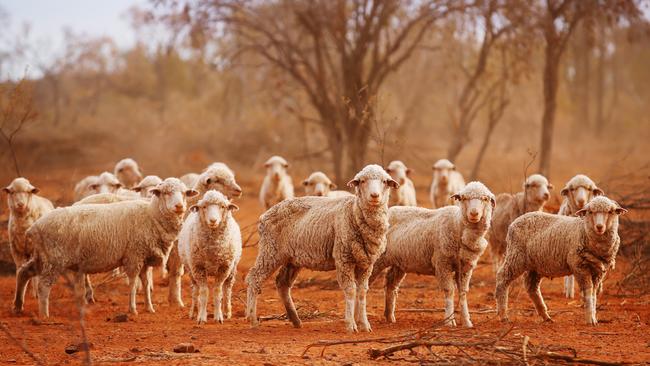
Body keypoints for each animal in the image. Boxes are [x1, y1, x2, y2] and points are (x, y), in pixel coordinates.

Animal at [13, 178, 197, 318]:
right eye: (166, 193)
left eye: (184, 193)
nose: (179, 206)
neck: (151, 215)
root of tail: (34, 228)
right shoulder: (134, 255)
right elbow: (133, 283)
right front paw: (133, 309)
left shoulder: (143, 258)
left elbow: (145, 284)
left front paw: (149, 307)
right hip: (53, 260)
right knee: (43, 286)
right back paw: (44, 314)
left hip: (42, 257)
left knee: (23, 272)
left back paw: (18, 306)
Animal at [177, 190, 240, 324]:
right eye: (204, 207)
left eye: (223, 206)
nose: (213, 220)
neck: (213, 249)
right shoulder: (198, 268)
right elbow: (204, 293)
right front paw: (201, 317)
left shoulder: (224, 268)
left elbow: (217, 291)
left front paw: (219, 316)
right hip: (191, 270)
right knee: (195, 291)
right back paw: (194, 311)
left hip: (232, 269)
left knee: (227, 289)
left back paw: (227, 311)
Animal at [243, 164, 394, 334]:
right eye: (362, 181)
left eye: (384, 181)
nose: (374, 196)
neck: (353, 212)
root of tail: (265, 214)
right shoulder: (344, 258)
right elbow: (350, 290)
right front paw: (351, 325)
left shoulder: (366, 263)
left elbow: (362, 292)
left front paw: (365, 325)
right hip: (270, 250)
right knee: (254, 278)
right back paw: (253, 319)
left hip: (291, 259)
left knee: (282, 283)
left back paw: (295, 320)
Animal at [368, 182, 494, 328]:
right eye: (463, 198)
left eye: (485, 199)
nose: (474, 213)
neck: (457, 226)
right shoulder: (442, 263)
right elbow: (449, 290)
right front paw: (449, 321)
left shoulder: (465, 268)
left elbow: (463, 293)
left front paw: (467, 321)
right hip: (377, 260)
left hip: (399, 263)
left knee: (390, 284)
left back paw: (389, 316)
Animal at [494, 196, 624, 324]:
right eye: (590, 212)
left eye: (610, 212)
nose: (599, 227)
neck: (583, 230)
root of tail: (514, 222)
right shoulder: (579, 266)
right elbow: (588, 292)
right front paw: (589, 320)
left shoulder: (598, 271)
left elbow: (593, 295)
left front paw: (594, 318)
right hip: (516, 256)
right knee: (502, 278)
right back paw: (503, 315)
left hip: (535, 265)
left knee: (531, 287)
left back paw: (545, 316)